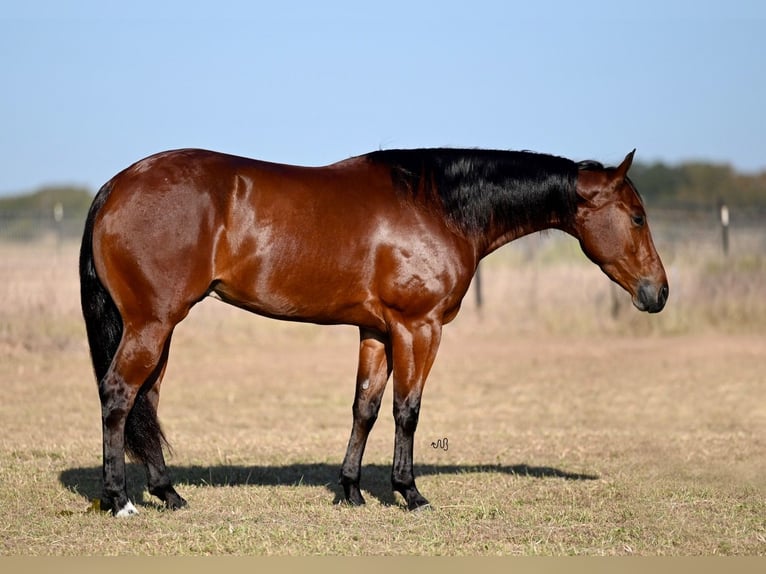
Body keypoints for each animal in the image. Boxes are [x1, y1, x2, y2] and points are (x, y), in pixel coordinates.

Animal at [76, 147, 664, 516]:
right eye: (637, 217)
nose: (657, 292)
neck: (437, 205)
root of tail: (117, 185)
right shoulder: (418, 327)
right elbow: (408, 410)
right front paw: (410, 493)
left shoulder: (376, 332)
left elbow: (366, 407)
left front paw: (352, 491)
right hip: (152, 324)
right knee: (119, 395)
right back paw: (120, 500)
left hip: (160, 329)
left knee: (147, 401)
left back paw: (168, 494)